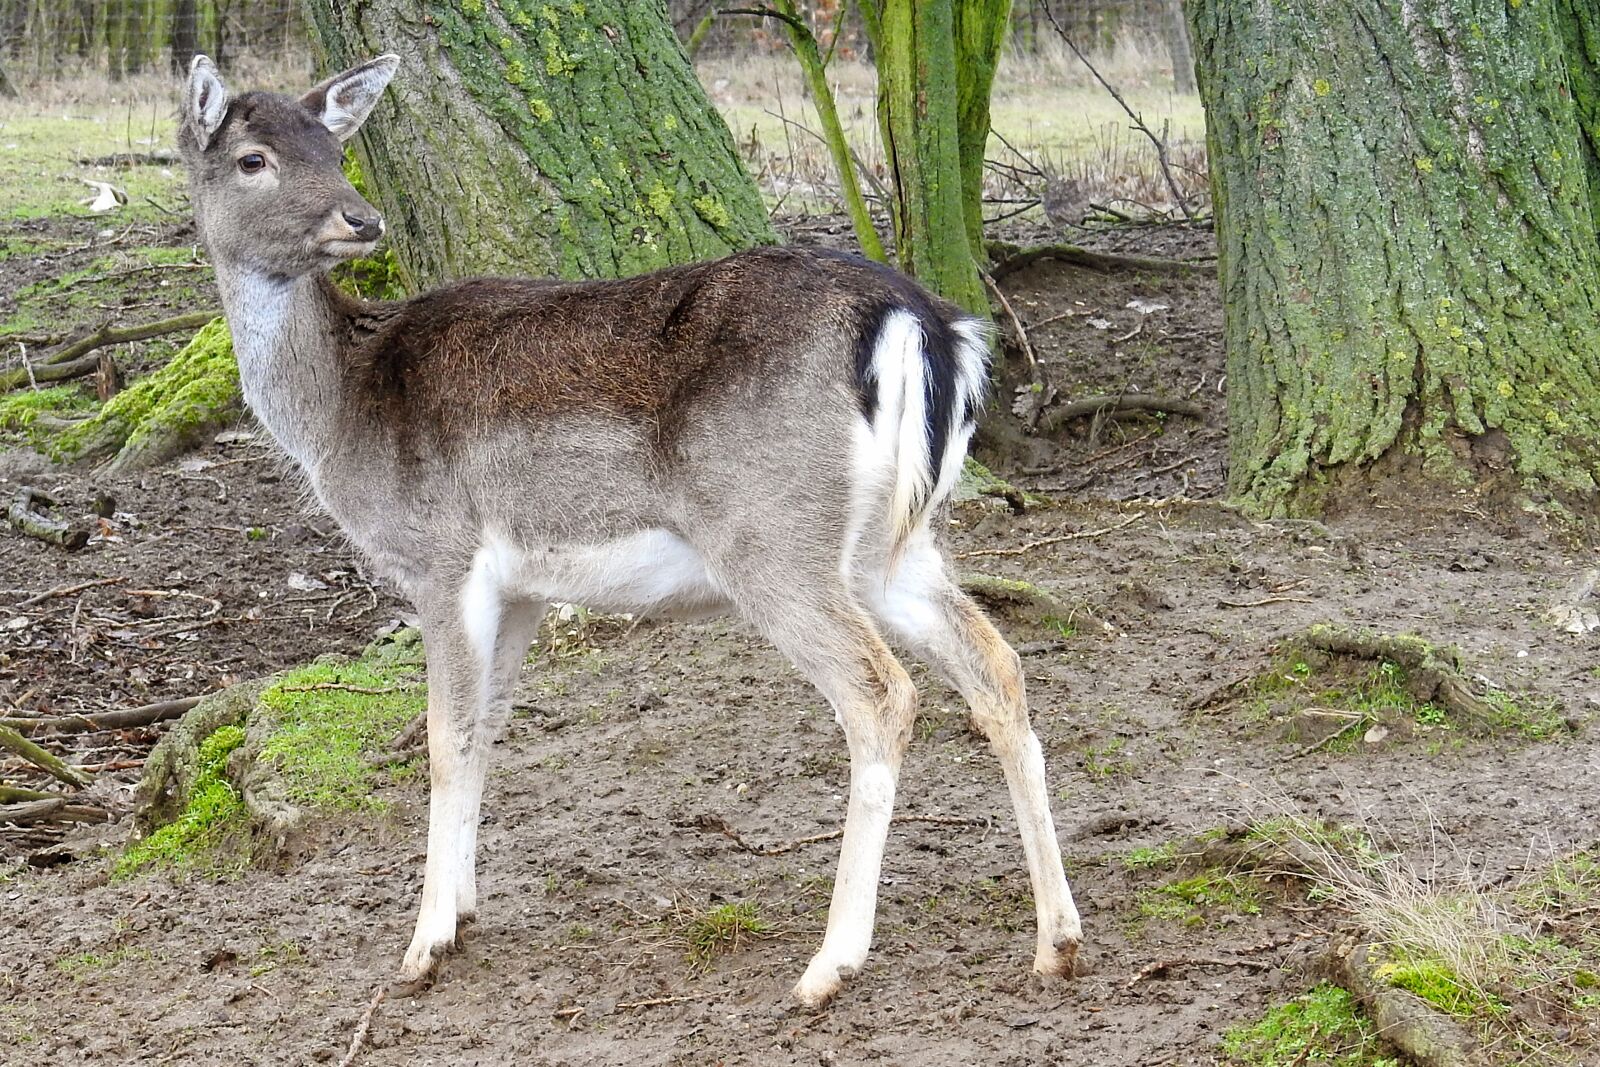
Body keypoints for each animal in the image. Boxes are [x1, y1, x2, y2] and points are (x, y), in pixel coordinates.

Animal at [176, 53, 1082, 1008]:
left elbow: (444, 738)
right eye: (255, 157)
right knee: (997, 663)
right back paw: (1057, 939)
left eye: (331, 146)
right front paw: (463, 910)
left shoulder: (442, 557)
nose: (361, 219)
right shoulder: (524, 589)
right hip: (894, 542)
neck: (344, 410)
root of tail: (930, 326)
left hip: (770, 535)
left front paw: (423, 944)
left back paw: (829, 964)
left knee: (881, 691)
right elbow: (488, 727)